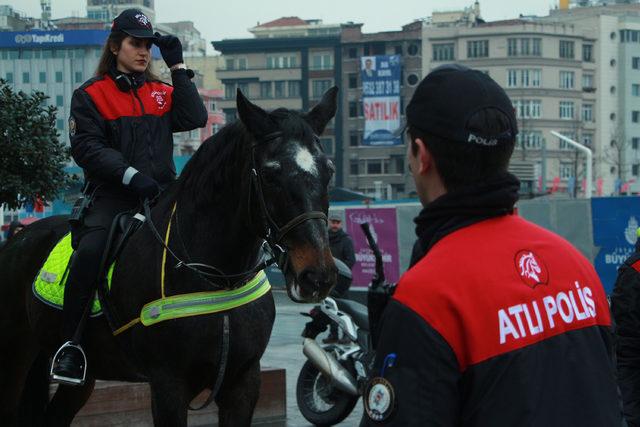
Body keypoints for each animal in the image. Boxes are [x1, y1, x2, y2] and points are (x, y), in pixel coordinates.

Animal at [0, 88, 340, 427]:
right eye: (270, 174)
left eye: (329, 170)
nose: (317, 275)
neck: (218, 278)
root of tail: (17, 240)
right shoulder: (168, 383)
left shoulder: (243, 381)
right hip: (15, 356)